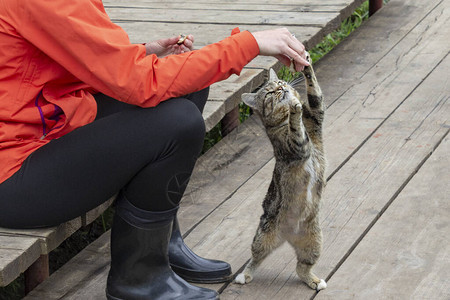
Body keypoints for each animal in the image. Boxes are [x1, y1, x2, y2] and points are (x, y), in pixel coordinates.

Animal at [236, 54, 326, 290]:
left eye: (279, 82)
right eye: (269, 93)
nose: (281, 88)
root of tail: (288, 235)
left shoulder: (316, 115)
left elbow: (315, 93)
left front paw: (306, 64)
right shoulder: (297, 147)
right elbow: (297, 129)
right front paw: (294, 108)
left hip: (314, 243)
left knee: (302, 268)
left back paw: (314, 280)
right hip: (262, 239)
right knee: (255, 259)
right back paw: (244, 275)